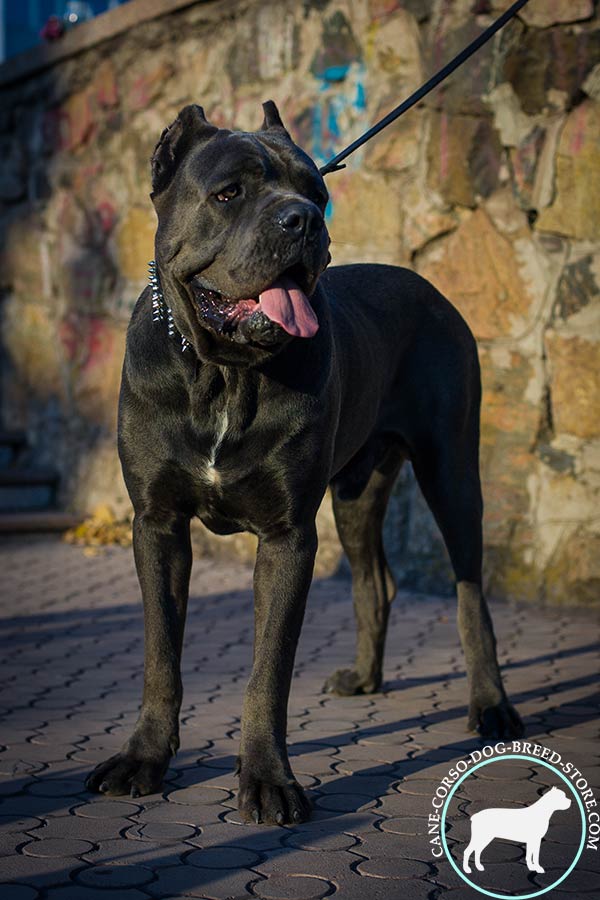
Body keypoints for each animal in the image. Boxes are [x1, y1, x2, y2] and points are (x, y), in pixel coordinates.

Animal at [85, 100, 524, 824]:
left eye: (316, 192)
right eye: (229, 193)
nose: (303, 221)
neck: (225, 375)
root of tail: (427, 284)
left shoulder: (288, 535)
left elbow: (269, 670)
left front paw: (268, 780)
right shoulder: (157, 525)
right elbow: (160, 654)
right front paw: (143, 757)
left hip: (453, 473)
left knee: (472, 598)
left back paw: (492, 707)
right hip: (357, 493)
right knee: (376, 583)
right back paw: (366, 678)